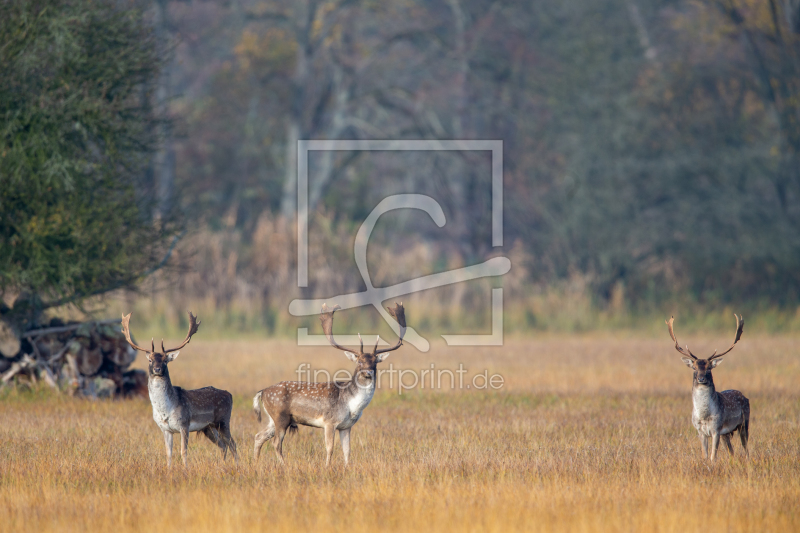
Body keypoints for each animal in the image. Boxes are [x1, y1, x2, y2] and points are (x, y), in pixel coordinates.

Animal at [119, 312, 238, 466]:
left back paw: (237, 465)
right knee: (223, 445)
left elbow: (183, 451)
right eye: (150, 360)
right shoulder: (165, 429)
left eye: (165, 360)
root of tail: (230, 395)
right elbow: (168, 453)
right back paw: (221, 465)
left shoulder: (184, 423)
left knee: (233, 444)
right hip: (209, 427)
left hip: (223, 420)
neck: (165, 410)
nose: (157, 369)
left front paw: (185, 469)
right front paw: (169, 469)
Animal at [253, 302, 406, 468]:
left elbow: (347, 450)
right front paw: (327, 467)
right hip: (280, 416)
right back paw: (284, 465)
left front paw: (347, 468)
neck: (351, 405)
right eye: (359, 361)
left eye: (375, 362)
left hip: (273, 419)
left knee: (259, 436)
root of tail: (262, 392)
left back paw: (255, 463)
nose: (368, 372)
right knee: (276, 443)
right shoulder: (329, 421)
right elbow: (330, 448)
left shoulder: (346, 426)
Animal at [668, 314, 752, 460]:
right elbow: (705, 455)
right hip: (726, 433)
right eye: (694, 368)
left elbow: (713, 456)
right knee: (731, 451)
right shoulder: (700, 430)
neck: (704, 416)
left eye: (708, 368)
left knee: (745, 447)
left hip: (744, 423)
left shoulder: (716, 429)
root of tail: (744, 396)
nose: (701, 378)